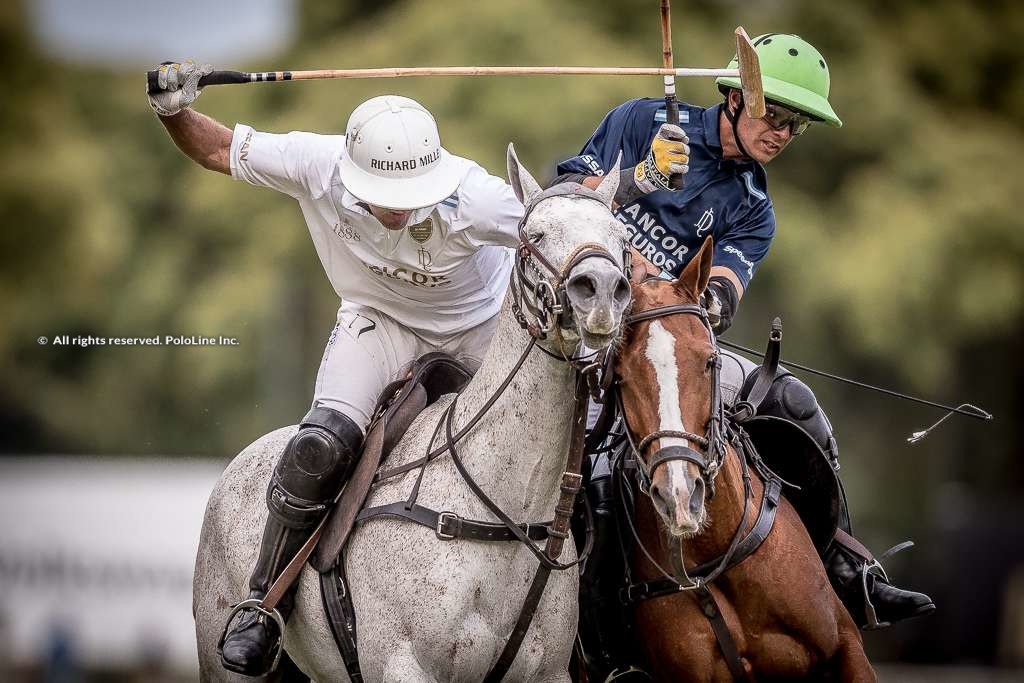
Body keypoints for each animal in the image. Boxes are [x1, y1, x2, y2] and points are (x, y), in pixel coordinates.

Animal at [188, 147, 626, 679]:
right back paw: (250, 628)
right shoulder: (404, 664)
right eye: (535, 236)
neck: (501, 514)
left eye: (621, 237)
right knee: (319, 445)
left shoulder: (548, 671)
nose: (601, 292)